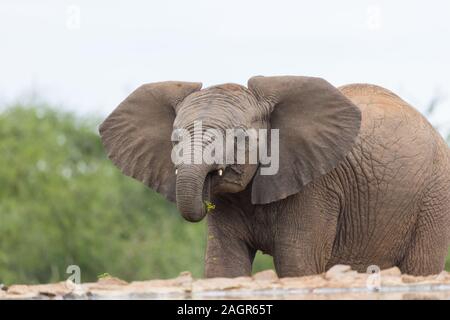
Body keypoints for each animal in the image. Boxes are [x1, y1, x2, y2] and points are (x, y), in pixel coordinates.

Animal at [99, 75, 450, 278]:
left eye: (239, 137)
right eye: (174, 141)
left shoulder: (317, 187)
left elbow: (297, 265)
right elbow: (223, 266)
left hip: (435, 197)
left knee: (420, 269)